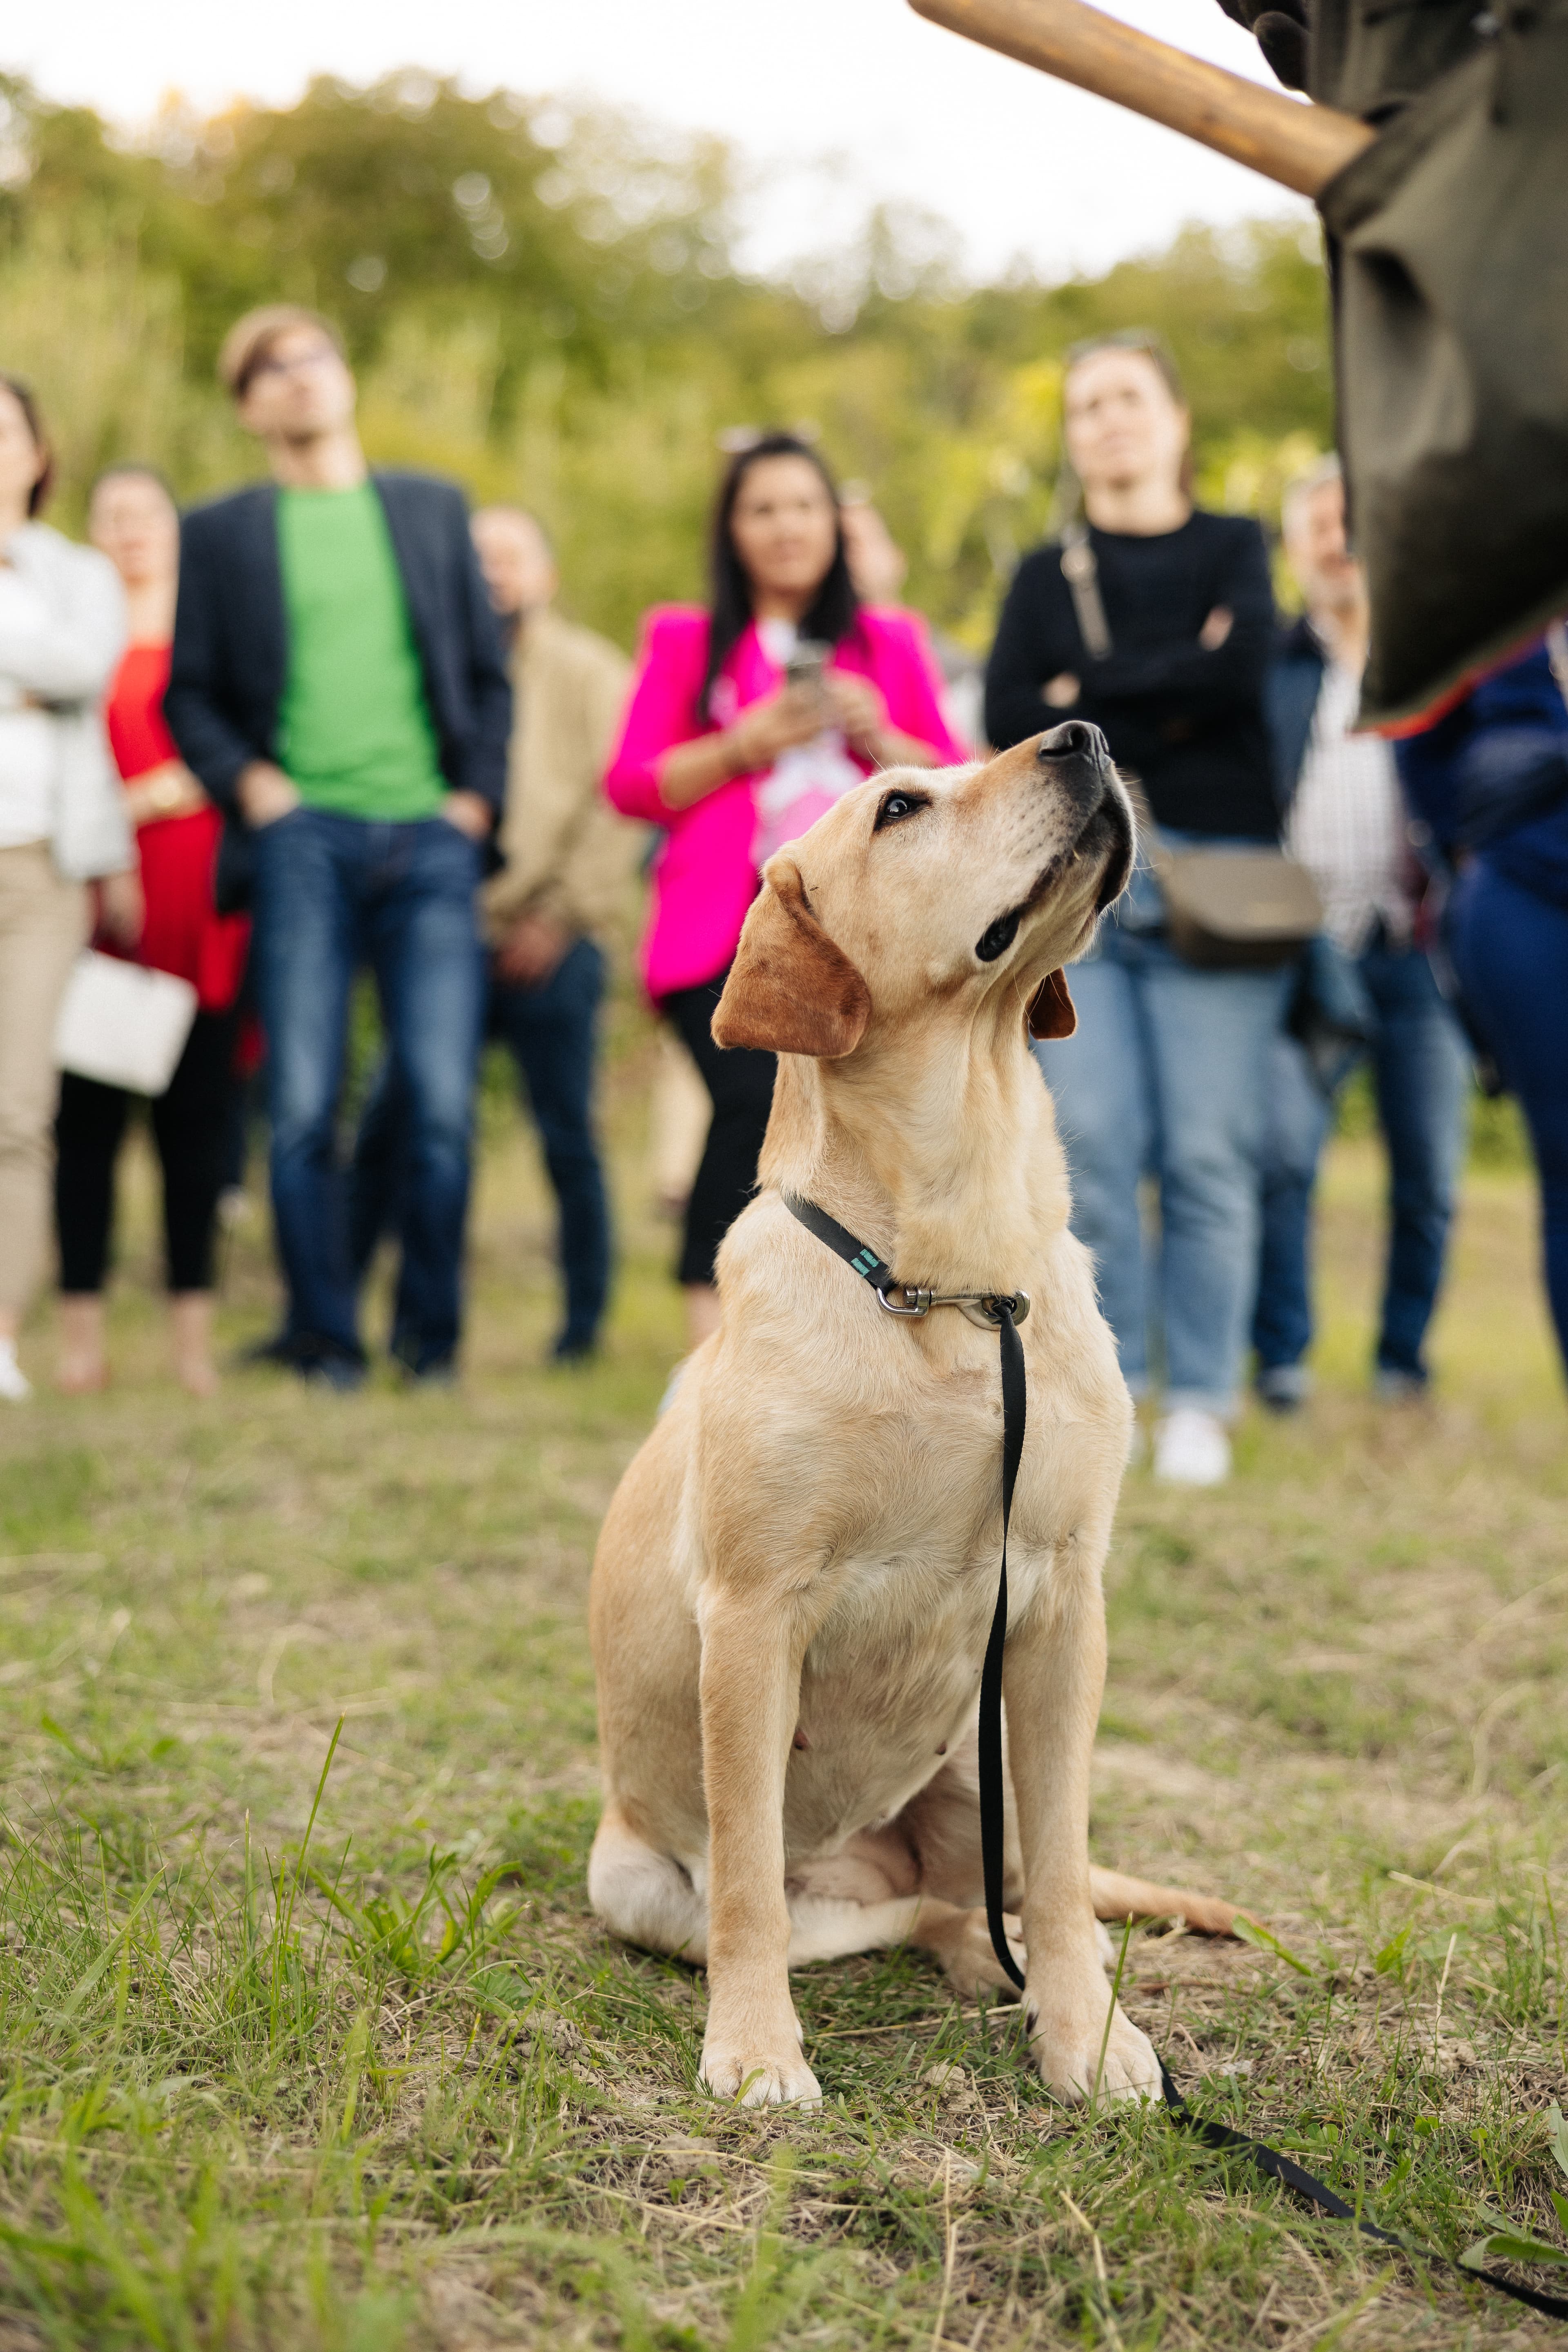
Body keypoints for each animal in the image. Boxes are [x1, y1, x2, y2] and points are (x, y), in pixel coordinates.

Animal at [588, 724, 1241, 2107]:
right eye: (898, 809)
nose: (1084, 736)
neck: (952, 1280)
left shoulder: (1061, 1603)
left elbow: (1063, 1876)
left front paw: (1085, 2036)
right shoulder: (753, 1614)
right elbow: (748, 1890)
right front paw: (756, 2049)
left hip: (976, 1761)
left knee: (980, 1898)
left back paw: (1027, 1975)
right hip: (637, 1879)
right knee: (848, 1910)